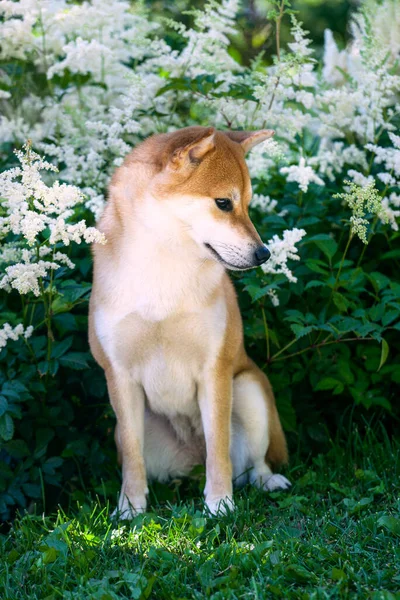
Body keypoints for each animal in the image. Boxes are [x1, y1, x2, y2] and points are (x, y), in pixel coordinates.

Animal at [89, 125, 290, 516]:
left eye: (247, 203)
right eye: (224, 203)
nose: (263, 254)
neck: (165, 265)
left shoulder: (215, 369)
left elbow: (219, 448)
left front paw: (220, 504)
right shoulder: (119, 376)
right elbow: (133, 460)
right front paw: (129, 509)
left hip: (249, 388)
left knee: (252, 463)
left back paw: (268, 481)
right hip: (128, 428)